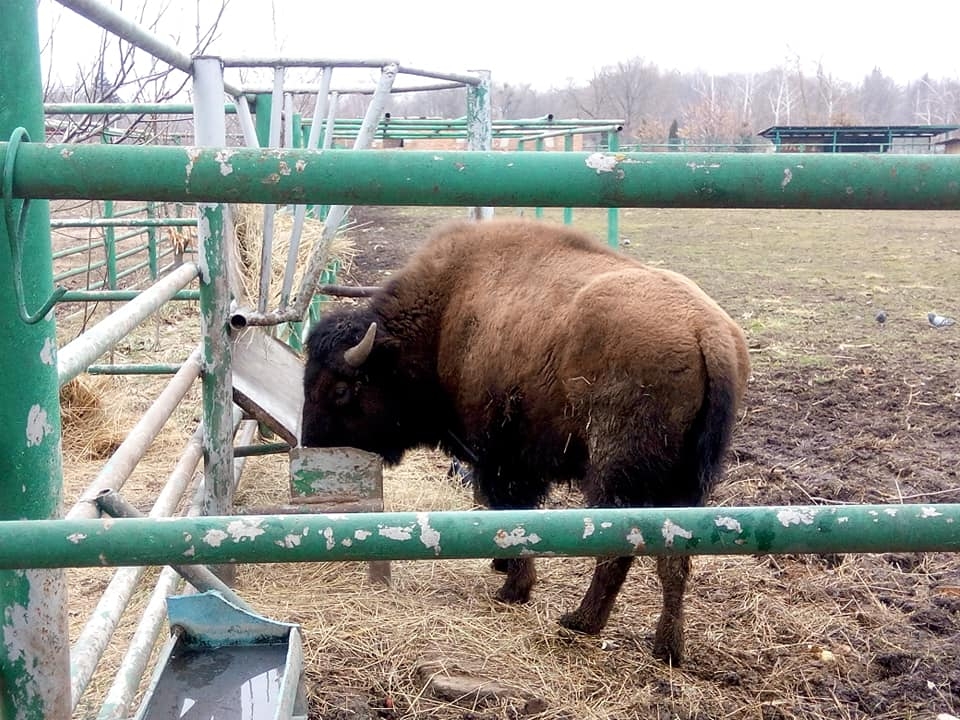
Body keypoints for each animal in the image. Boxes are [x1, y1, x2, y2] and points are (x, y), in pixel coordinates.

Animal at [300, 218, 752, 664]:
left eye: (340, 390)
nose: (313, 446)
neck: (445, 316)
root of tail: (706, 332)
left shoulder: (502, 459)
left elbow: (511, 514)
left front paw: (513, 588)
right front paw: (502, 567)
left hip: (616, 474)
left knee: (619, 548)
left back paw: (581, 621)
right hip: (686, 483)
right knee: (675, 557)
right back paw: (667, 647)